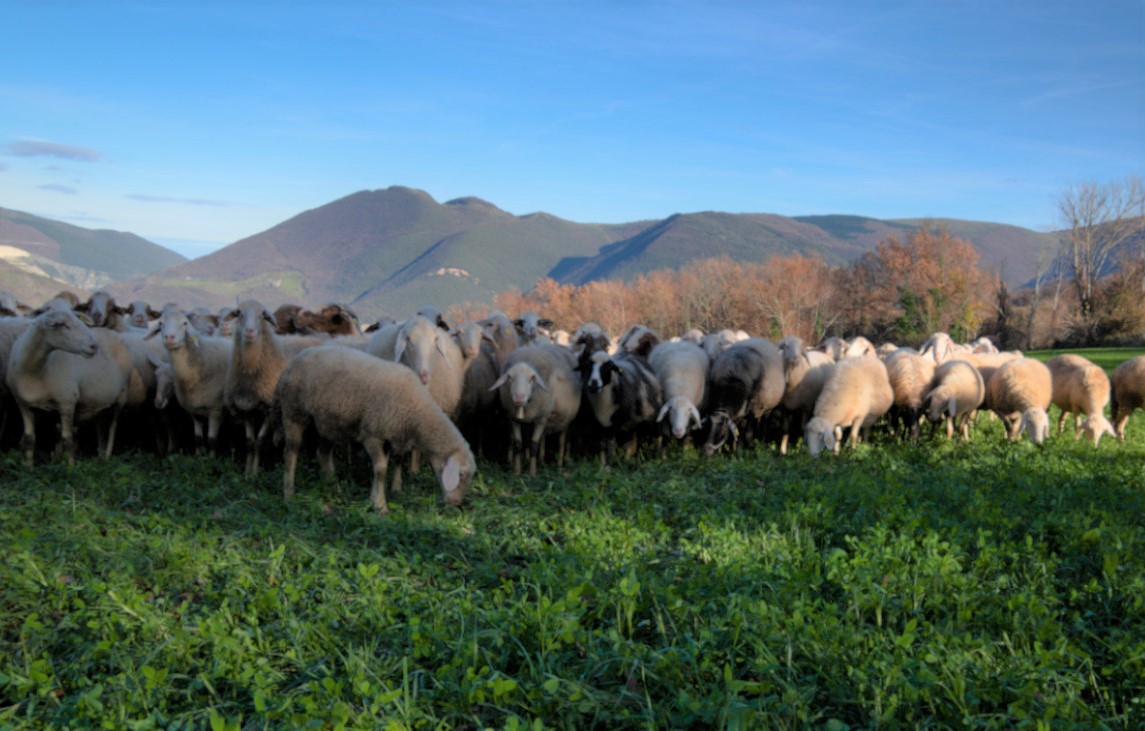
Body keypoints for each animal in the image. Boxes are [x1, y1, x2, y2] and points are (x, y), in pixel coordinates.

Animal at [6, 308, 133, 466]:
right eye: (63, 325)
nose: (94, 346)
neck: (33, 371)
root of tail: (111, 332)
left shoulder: (67, 402)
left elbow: (68, 441)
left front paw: (70, 468)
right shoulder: (22, 404)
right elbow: (29, 439)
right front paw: (28, 468)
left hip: (121, 397)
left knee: (112, 427)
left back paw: (107, 458)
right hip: (100, 402)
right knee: (101, 427)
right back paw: (100, 457)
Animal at [146, 305, 233, 455]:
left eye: (185, 323)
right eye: (161, 323)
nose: (169, 337)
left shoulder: (216, 410)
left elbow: (212, 440)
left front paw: (211, 458)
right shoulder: (193, 409)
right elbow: (197, 438)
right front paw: (198, 456)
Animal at [275, 346, 476, 514]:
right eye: (460, 474)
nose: (456, 503)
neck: (415, 409)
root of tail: (293, 361)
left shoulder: (388, 436)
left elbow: (387, 465)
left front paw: (377, 497)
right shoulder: (372, 434)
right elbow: (380, 468)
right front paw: (380, 506)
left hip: (329, 422)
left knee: (323, 454)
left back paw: (335, 490)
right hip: (294, 412)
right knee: (290, 453)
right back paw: (289, 495)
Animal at [489, 343, 581, 475]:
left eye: (532, 379)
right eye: (510, 378)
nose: (519, 397)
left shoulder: (541, 419)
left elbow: (533, 445)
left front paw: (532, 473)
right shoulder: (514, 419)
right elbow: (518, 444)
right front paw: (517, 471)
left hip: (566, 420)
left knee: (562, 441)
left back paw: (560, 464)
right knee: (543, 439)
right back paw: (542, 460)